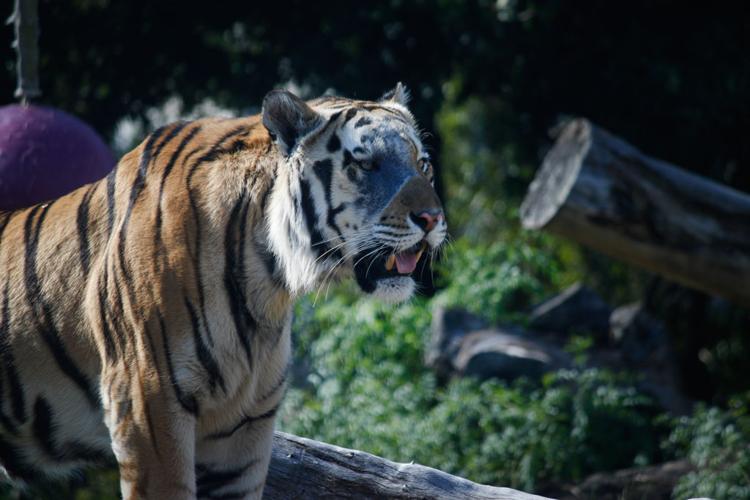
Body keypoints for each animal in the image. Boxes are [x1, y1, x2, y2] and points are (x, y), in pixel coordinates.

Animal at [0, 84, 446, 498]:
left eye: (422, 163)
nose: (432, 218)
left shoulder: (244, 426)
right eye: (366, 164)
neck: (267, 282)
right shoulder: (146, 402)